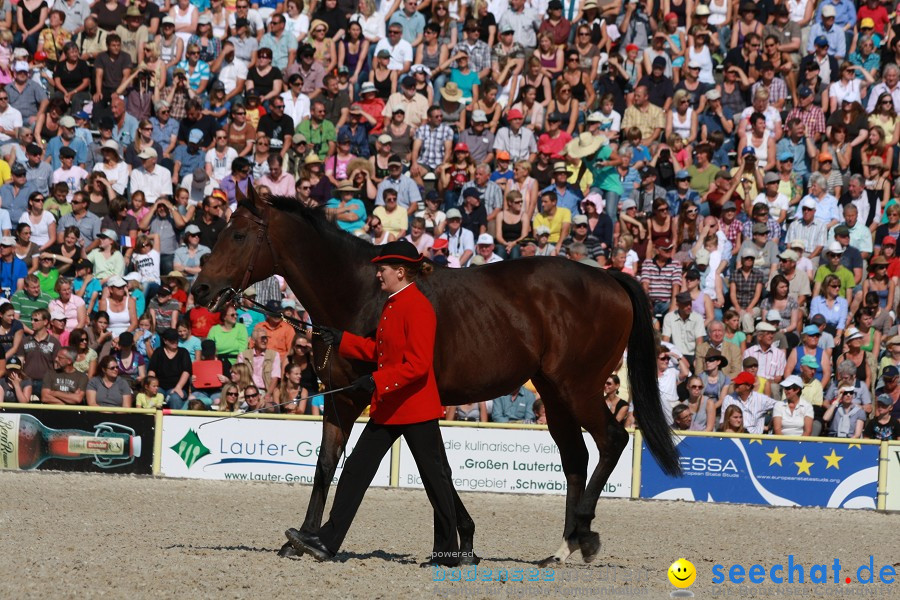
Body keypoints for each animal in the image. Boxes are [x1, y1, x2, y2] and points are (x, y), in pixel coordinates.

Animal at [192, 189, 684, 568]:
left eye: (238, 235)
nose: (200, 289)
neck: (363, 295)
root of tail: (610, 279)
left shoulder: (382, 399)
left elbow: (401, 465)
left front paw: (458, 539)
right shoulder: (342, 401)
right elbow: (330, 466)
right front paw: (303, 539)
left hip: (577, 387)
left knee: (612, 441)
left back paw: (584, 536)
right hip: (554, 391)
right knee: (576, 457)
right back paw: (560, 549)